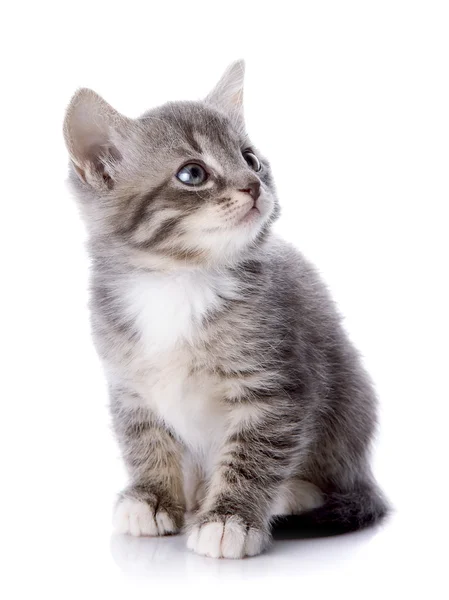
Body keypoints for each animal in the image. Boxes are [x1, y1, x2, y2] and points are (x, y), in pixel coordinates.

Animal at [64, 59, 388, 556]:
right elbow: (145, 442)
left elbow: (255, 452)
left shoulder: (274, 386)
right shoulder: (129, 385)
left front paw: (230, 518)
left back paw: (290, 494)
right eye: (192, 174)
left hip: (352, 409)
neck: (179, 281)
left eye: (250, 158)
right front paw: (152, 498)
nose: (254, 185)